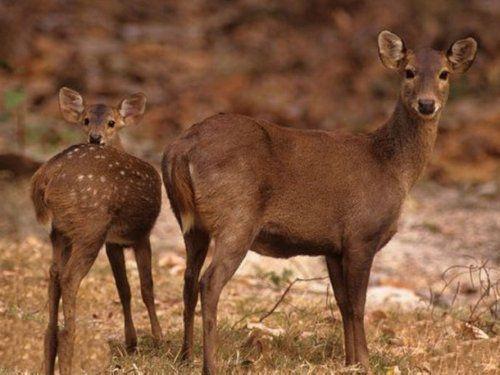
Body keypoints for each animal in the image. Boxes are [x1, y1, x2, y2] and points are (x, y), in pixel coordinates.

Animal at [31, 92, 163, 375]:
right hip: (90, 228)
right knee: (69, 278)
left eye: (112, 122)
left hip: (61, 232)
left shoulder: (113, 242)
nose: (95, 137)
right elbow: (146, 287)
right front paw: (158, 340)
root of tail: (47, 174)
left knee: (54, 274)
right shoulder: (142, 235)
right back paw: (69, 345)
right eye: (86, 120)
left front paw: (132, 342)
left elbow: (124, 288)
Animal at [162, 30, 478, 374]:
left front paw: (350, 360)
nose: (426, 104)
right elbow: (358, 304)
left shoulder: (333, 247)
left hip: (191, 223)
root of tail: (180, 149)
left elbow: (342, 304)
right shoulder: (361, 234)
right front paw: (364, 361)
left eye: (443, 74)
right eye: (408, 72)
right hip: (237, 217)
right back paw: (211, 364)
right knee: (209, 282)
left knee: (188, 279)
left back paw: (185, 356)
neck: (393, 168)